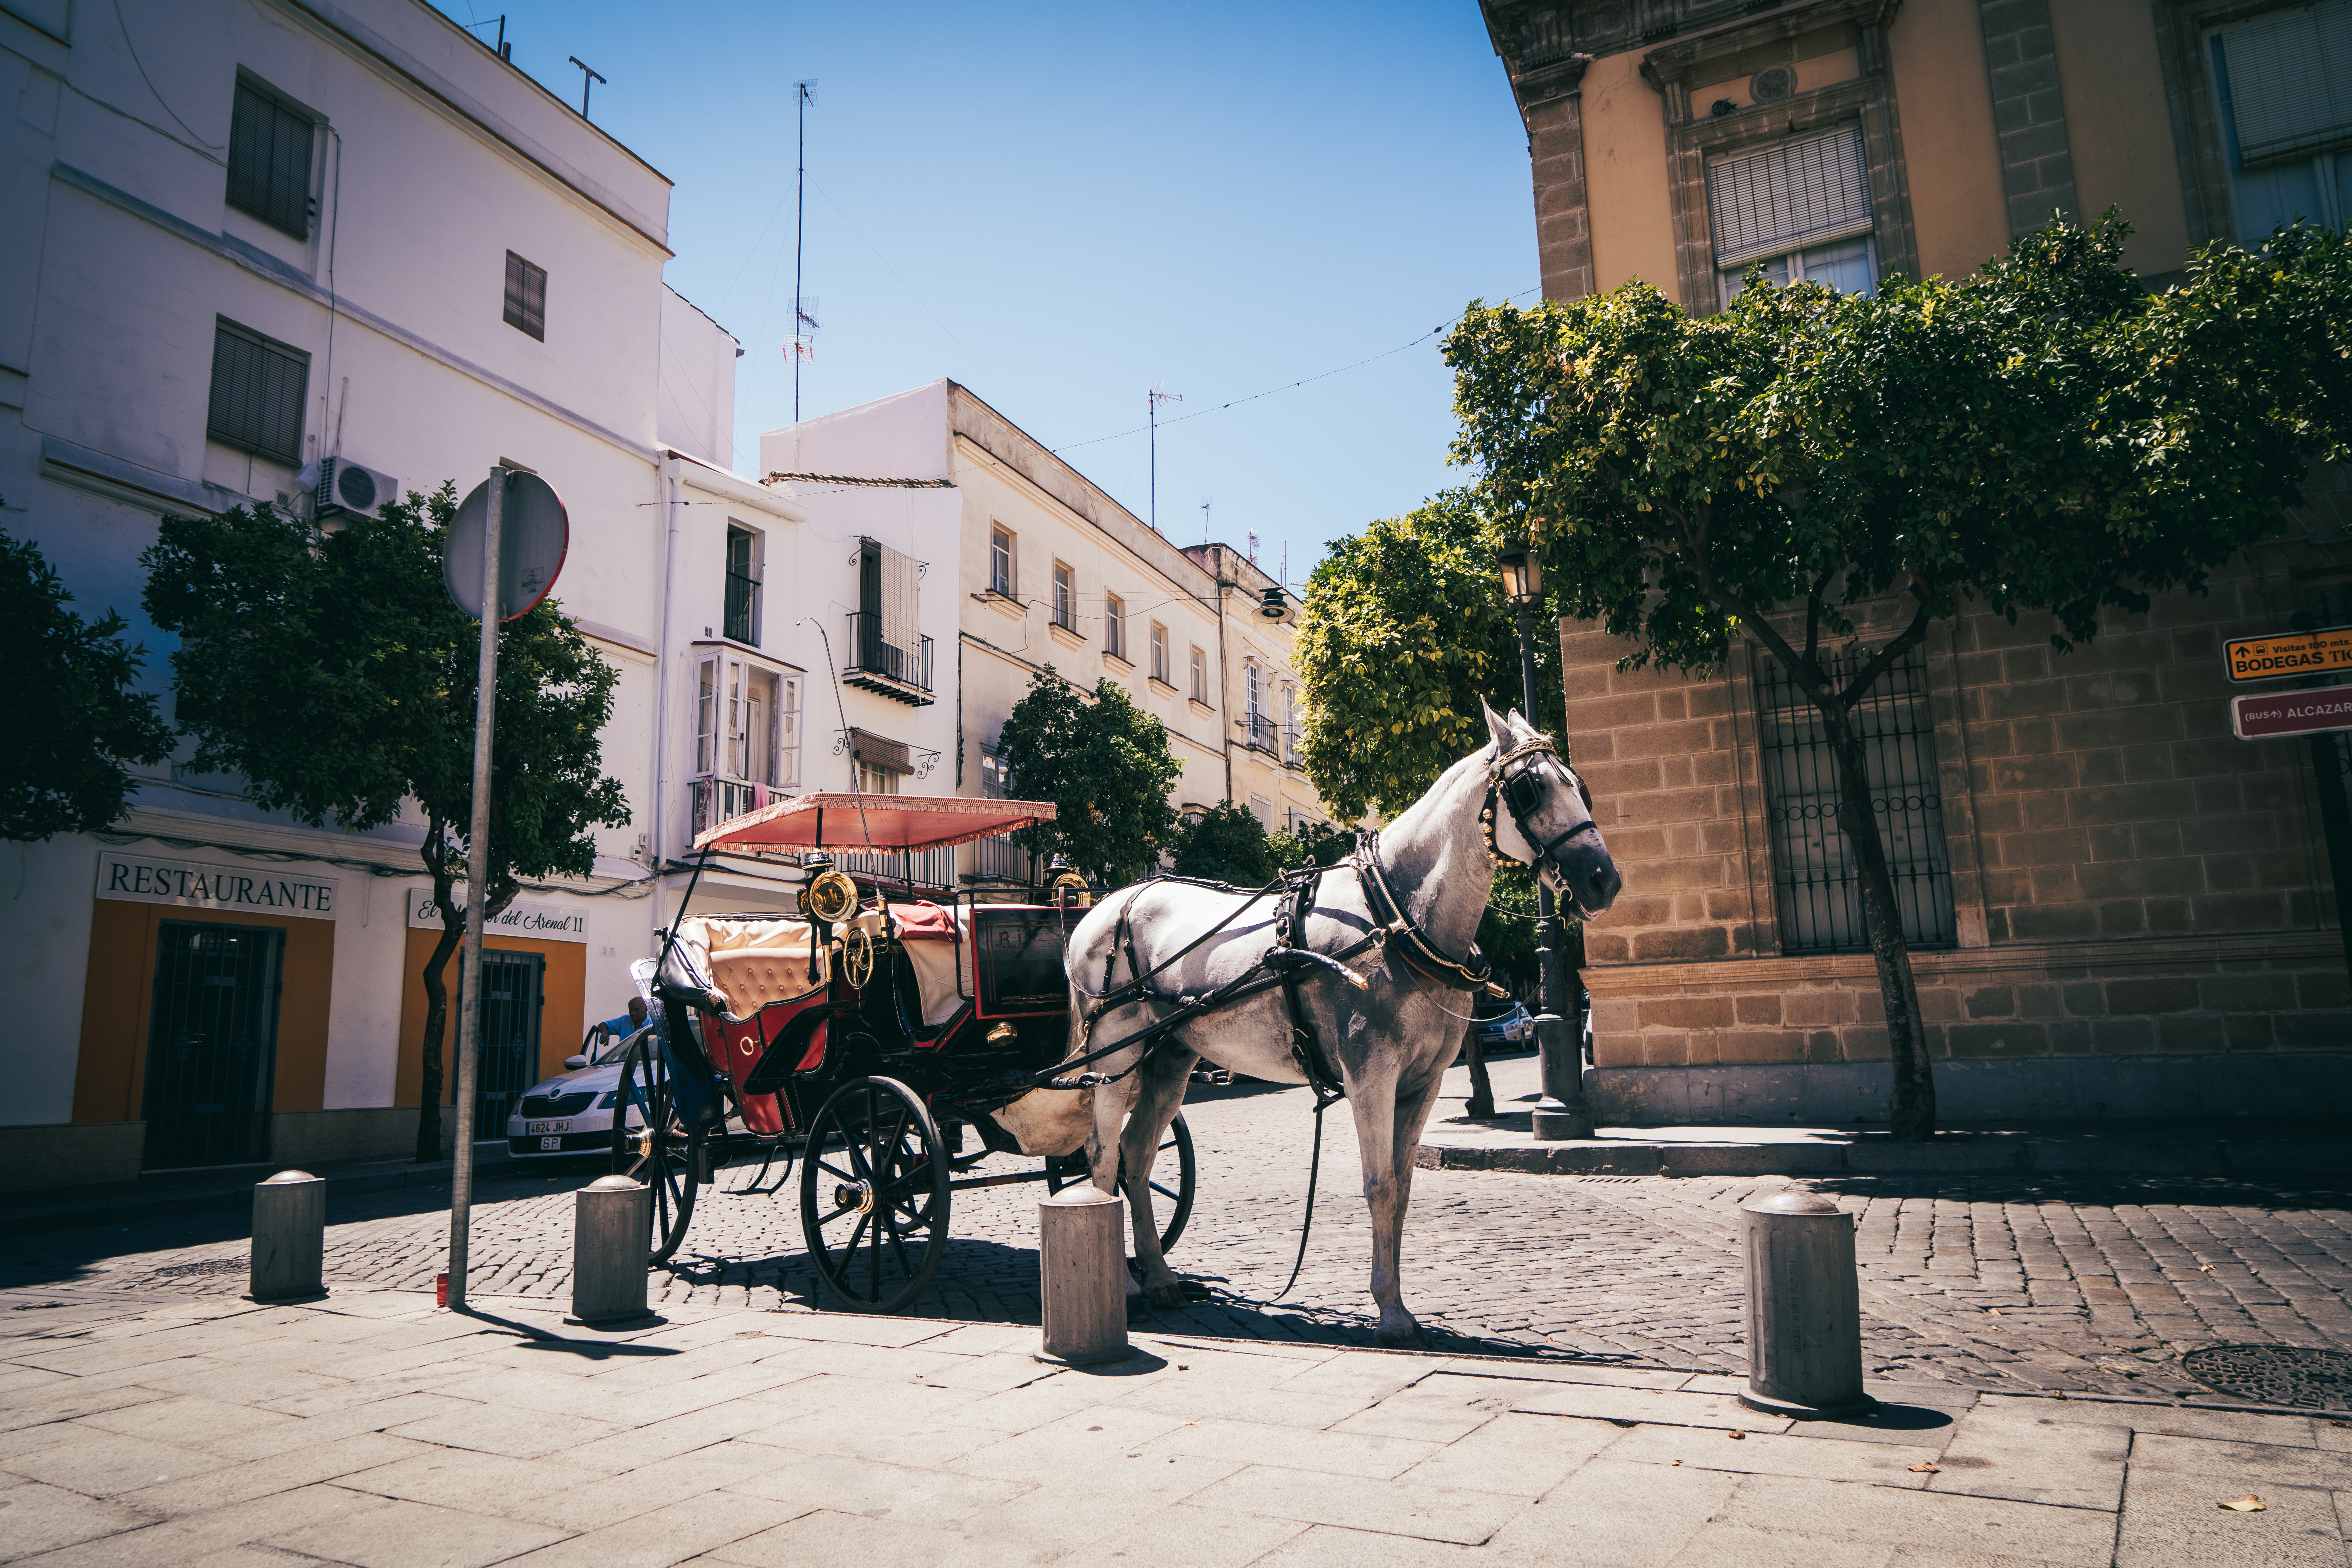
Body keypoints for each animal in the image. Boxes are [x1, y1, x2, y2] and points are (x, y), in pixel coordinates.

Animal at [1061, 702, 1621, 1348]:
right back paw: (1125, 1285)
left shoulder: (1423, 1081)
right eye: (1531, 789)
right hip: (1114, 1056)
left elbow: (1401, 1188)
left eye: (1578, 785)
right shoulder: (1370, 1074)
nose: (1604, 880)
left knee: (1138, 1154)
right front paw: (1390, 1312)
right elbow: (1378, 1183)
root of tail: (1103, 906)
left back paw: (1157, 1276)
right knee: (1103, 1154)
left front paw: (1398, 1303)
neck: (1396, 916)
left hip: (1170, 1057)